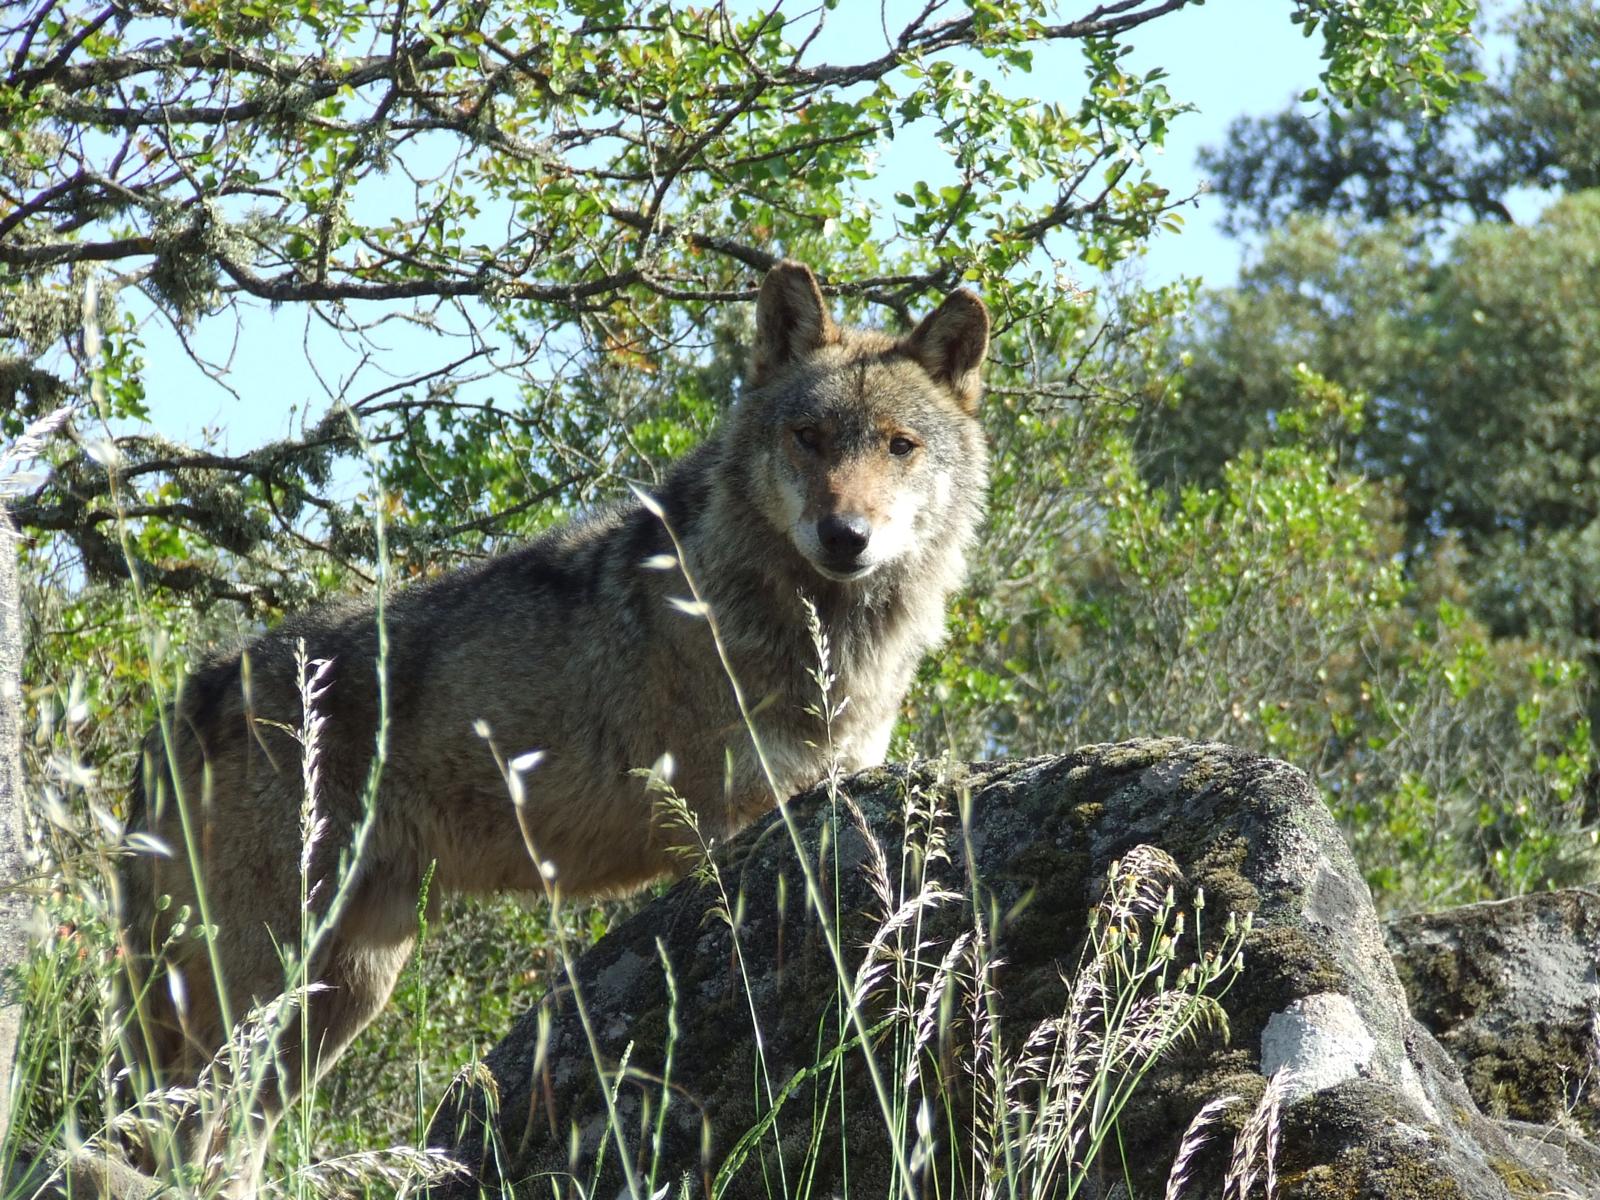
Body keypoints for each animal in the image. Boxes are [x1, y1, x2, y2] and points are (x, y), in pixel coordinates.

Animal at [115, 260, 989, 1191]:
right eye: (809, 437)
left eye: (899, 445)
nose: (844, 535)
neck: (815, 631)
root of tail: (184, 700)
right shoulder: (719, 832)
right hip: (263, 980)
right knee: (183, 1122)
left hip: (335, 995)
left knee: (226, 1131)